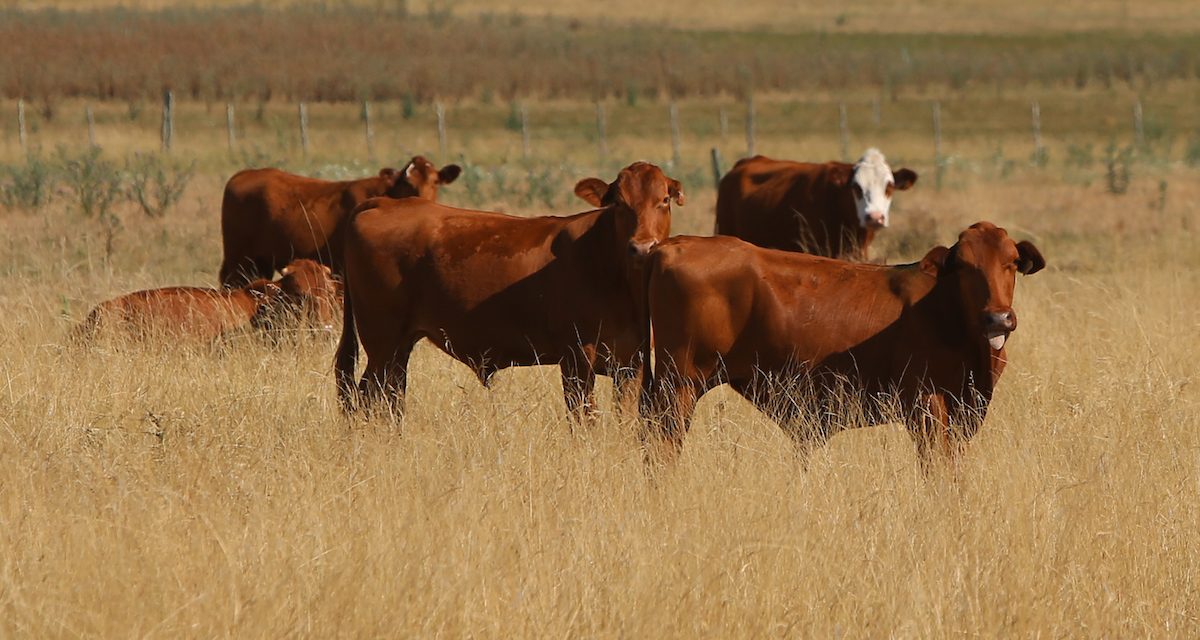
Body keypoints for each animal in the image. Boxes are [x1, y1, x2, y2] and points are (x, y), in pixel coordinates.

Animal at [218, 156, 460, 285]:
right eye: (407, 182)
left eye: (435, 182)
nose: (422, 199)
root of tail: (243, 174)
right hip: (240, 260)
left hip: (261, 262)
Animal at [333, 160, 686, 420]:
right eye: (620, 204)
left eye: (664, 200)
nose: (641, 248)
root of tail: (382, 203)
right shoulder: (575, 359)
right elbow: (583, 419)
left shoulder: (630, 363)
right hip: (383, 343)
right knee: (367, 397)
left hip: (398, 347)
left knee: (388, 397)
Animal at [643, 220, 1046, 463]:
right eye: (962, 265)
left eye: (1012, 262)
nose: (998, 318)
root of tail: (672, 245)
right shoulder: (926, 404)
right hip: (679, 384)